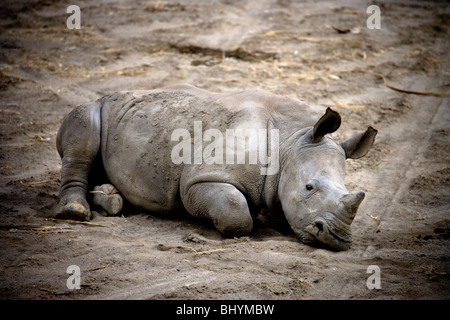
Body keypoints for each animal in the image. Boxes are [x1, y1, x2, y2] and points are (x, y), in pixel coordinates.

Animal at [57, 84, 380, 250]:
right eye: (309, 187)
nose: (337, 238)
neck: (292, 141)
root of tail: (107, 94)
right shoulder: (198, 180)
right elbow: (235, 213)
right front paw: (253, 220)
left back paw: (110, 199)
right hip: (98, 107)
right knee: (83, 129)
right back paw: (75, 212)